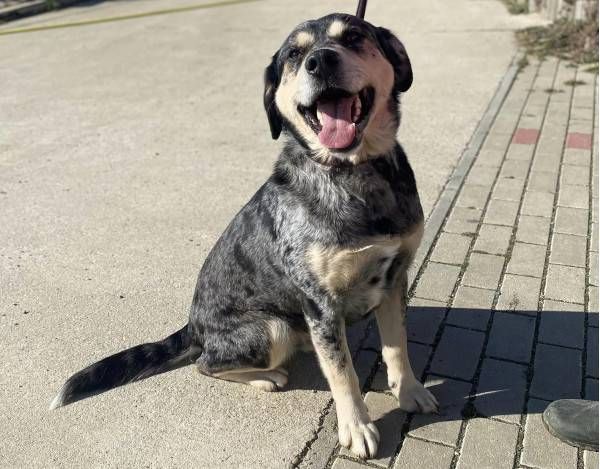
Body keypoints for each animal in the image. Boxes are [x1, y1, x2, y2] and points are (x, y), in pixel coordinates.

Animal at [50, 13, 439, 459]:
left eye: (355, 36)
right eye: (294, 55)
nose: (320, 62)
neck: (354, 174)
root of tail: (193, 326)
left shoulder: (394, 278)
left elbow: (397, 347)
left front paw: (409, 391)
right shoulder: (320, 303)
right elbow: (343, 373)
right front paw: (356, 427)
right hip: (272, 329)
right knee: (206, 364)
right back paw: (265, 376)